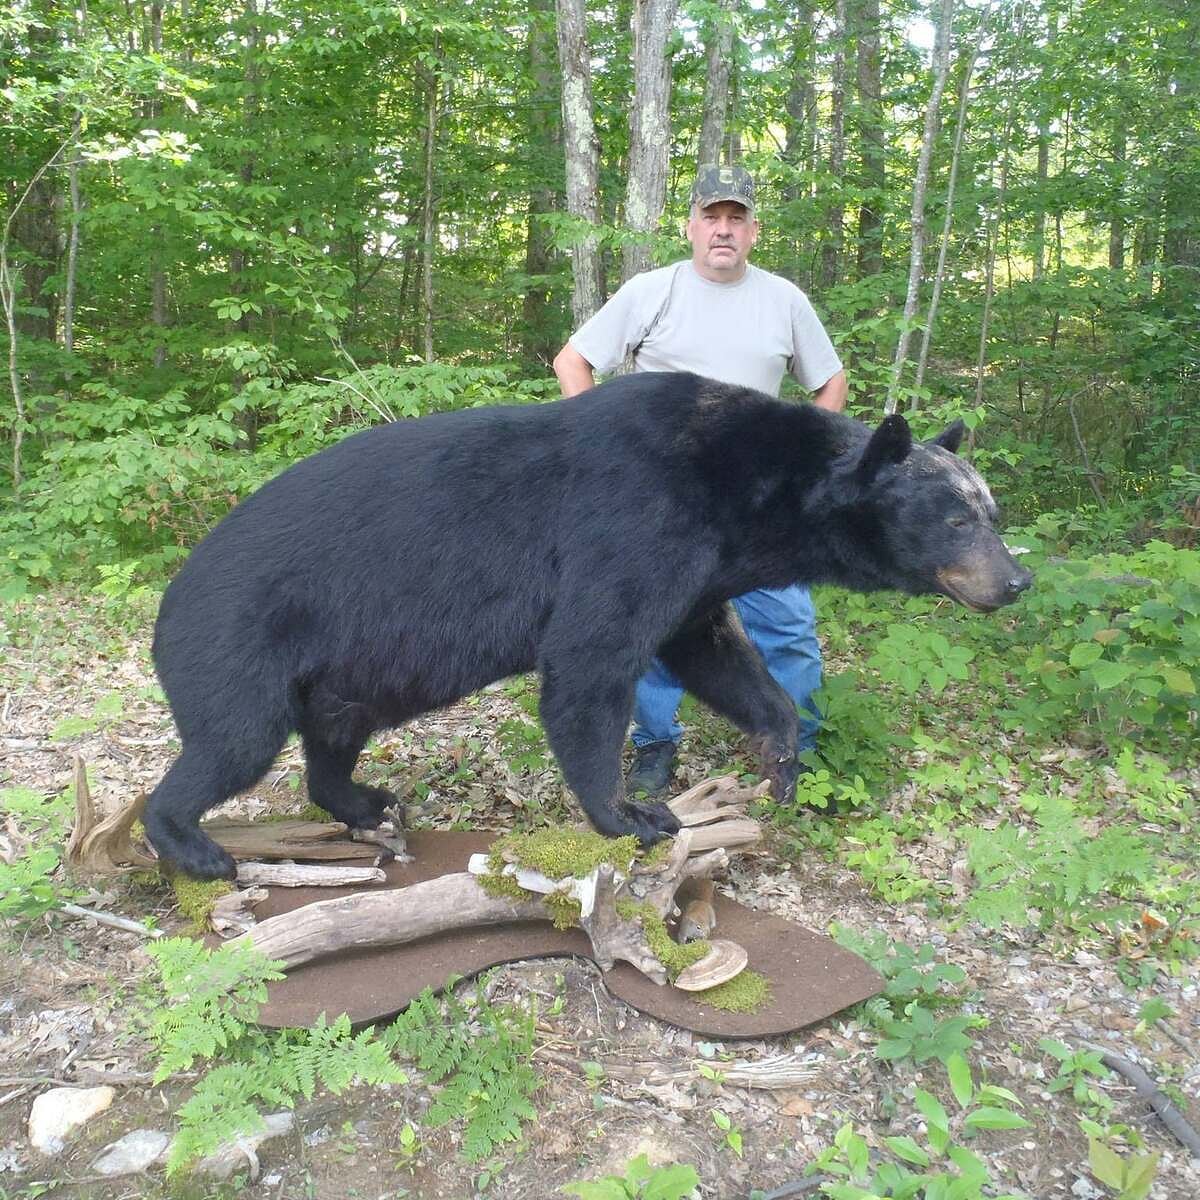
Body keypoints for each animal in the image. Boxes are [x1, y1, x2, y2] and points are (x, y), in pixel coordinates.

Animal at [143, 371, 1032, 879]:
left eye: (991, 510)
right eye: (956, 517)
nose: (1016, 579)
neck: (744, 492)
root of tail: (169, 597)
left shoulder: (703, 570)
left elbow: (711, 652)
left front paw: (782, 755)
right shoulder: (633, 520)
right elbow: (591, 661)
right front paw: (632, 813)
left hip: (346, 674)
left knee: (333, 737)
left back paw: (364, 800)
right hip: (240, 644)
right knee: (233, 743)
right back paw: (195, 846)